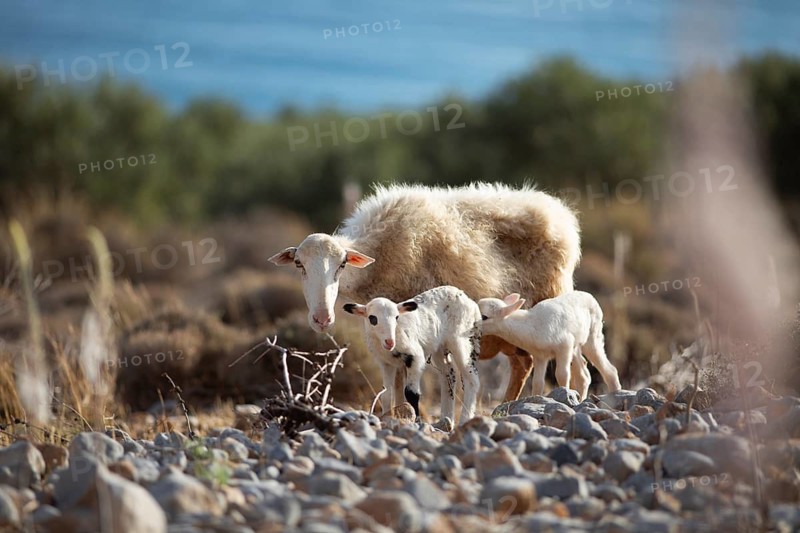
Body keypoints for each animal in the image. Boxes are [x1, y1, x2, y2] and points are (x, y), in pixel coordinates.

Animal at [269, 182, 583, 402]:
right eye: (299, 265)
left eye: (342, 264)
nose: (322, 319)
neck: (380, 253)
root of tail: (559, 212)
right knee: (523, 362)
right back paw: (503, 407)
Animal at [342, 286, 481, 426]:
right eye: (372, 318)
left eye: (396, 317)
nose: (389, 342)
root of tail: (469, 300)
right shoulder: (386, 363)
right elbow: (386, 394)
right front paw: (385, 417)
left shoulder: (415, 357)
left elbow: (411, 393)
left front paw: (417, 421)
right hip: (440, 347)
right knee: (449, 375)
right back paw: (446, 419)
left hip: (459, 339)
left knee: (471, 379)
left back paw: (464, 420)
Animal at [478, 291, 621, 400]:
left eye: (484, 317)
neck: (530, 324)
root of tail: (591, 296)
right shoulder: (540, 356)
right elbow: (538, 383)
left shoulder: (564, 346)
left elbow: (562, 375)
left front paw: (565, 394)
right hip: (576, 347)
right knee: (584, 376)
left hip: (592, 337)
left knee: (609, 369)